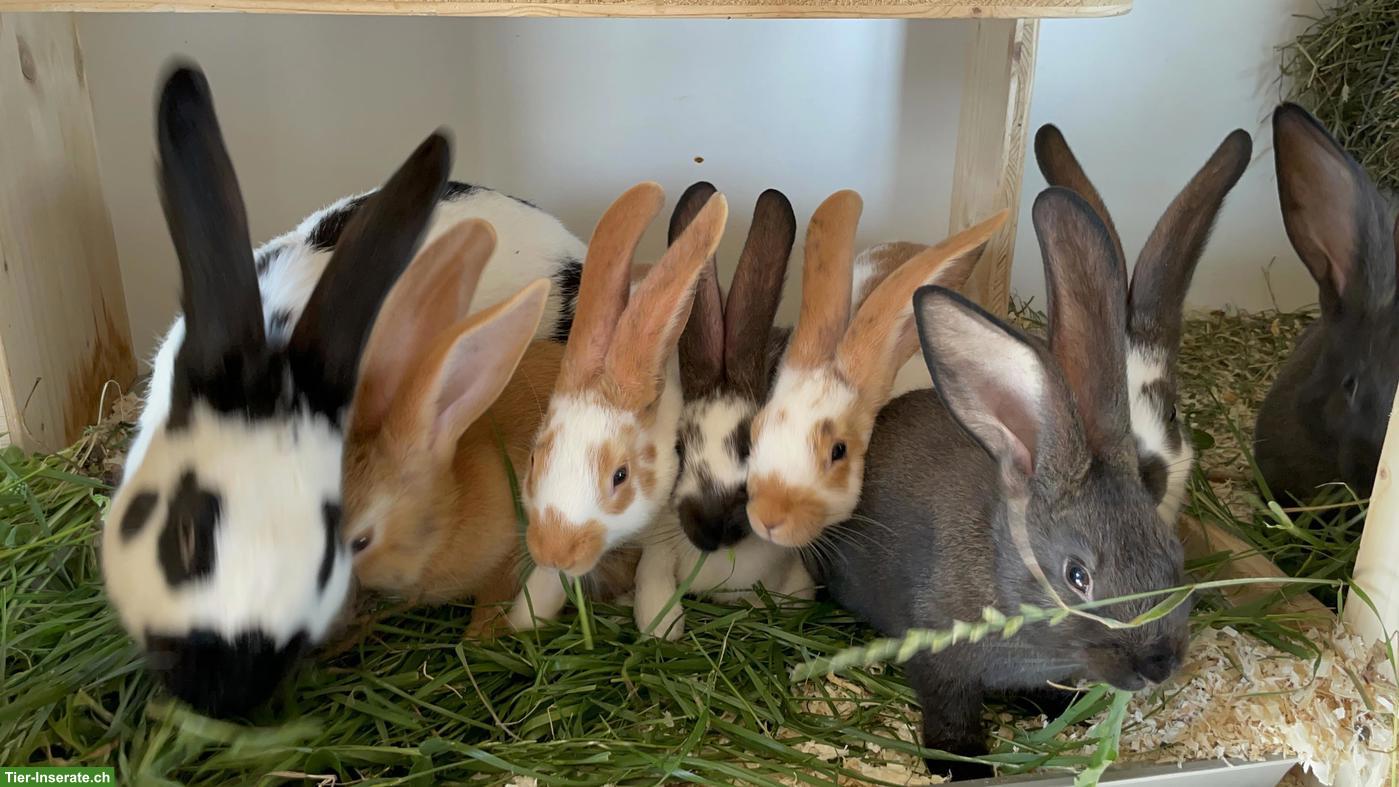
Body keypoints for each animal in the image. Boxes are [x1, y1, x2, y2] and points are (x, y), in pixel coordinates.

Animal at [506, 183, 728, 634]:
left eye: (620, 477)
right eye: (535, 459)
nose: (554, 551)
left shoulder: (664, 524)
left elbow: (653, 569)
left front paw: (661, 626)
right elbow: (549, 583)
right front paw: (525, 618)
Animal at [809, 188, 1190, 781]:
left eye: (1172, 552)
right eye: (1077, 576)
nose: (1160, 665)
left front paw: (1055, 704)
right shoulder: (942, 662)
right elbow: (951, 711)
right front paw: (963, 765)